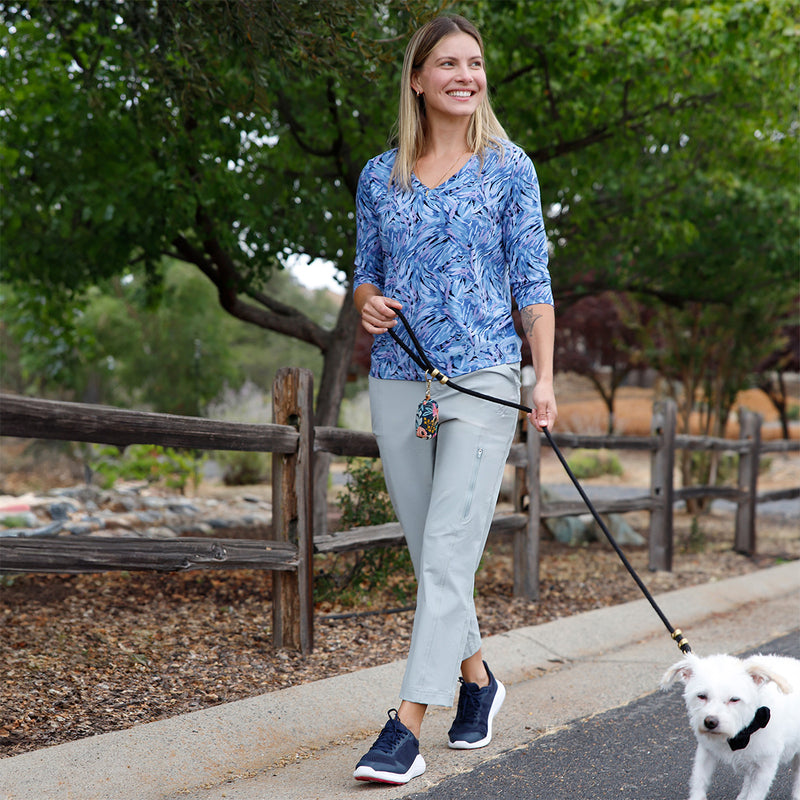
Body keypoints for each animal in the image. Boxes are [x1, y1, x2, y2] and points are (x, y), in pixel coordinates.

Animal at [664, 652, 800, 796]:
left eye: (734, 699)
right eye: (701, 696)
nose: (710, 722)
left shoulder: (765, 768)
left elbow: (754, 794)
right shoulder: (706, 752)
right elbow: (699, 782)